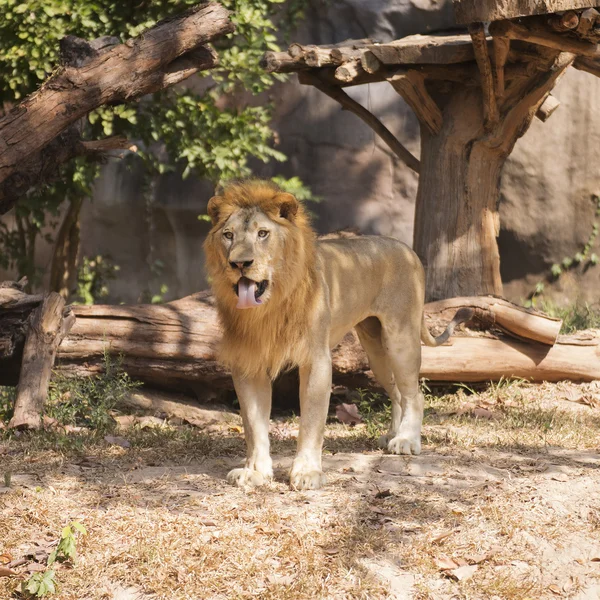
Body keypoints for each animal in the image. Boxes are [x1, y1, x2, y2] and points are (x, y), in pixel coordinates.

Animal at [204, 180, 472, 490]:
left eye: (263, 234)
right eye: (228, 235)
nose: (239, 264)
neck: (269, 307)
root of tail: (406, 248)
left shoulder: (316, 359)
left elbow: (311, 421)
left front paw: (307, 472)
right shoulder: (248, 363)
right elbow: (253, 423)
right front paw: (255, 471)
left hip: (400, 338)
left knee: (414, 394)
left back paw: (406, 440)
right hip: (375, 350)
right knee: (397, 393)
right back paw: (392, 435)